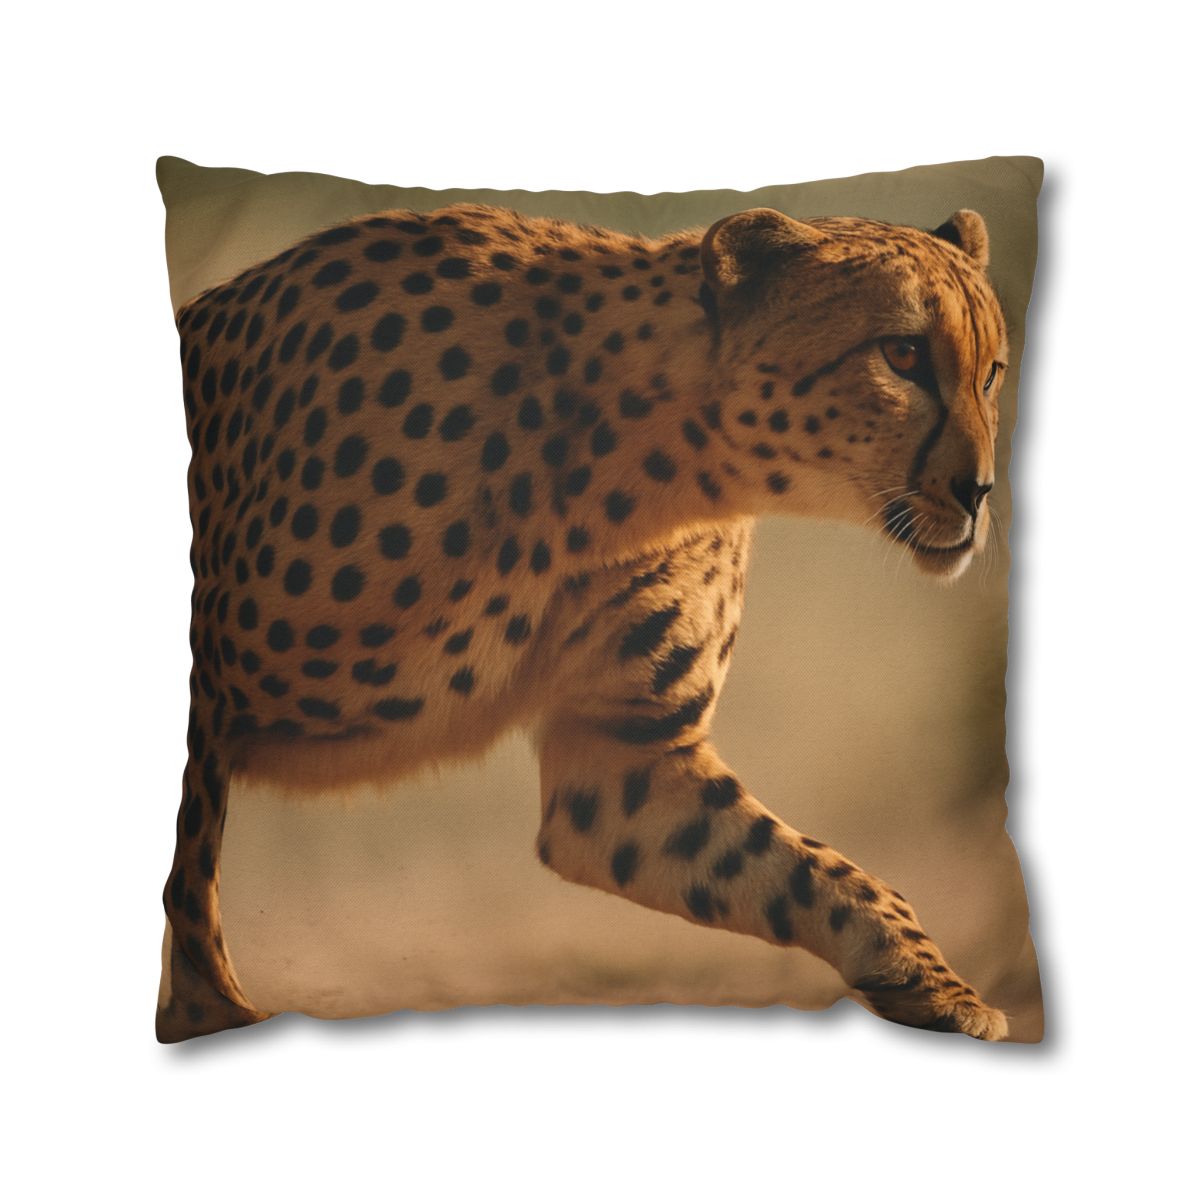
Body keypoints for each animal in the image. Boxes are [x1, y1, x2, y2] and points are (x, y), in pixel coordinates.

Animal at [158, 200, 1010, 1042]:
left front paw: (936, 986)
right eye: (901, 354)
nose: (979, 492)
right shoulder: (205, 686)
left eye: (992, 372)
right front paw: (213, 1015)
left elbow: (816, 871)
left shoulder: (622, 760)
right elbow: (190, 881)